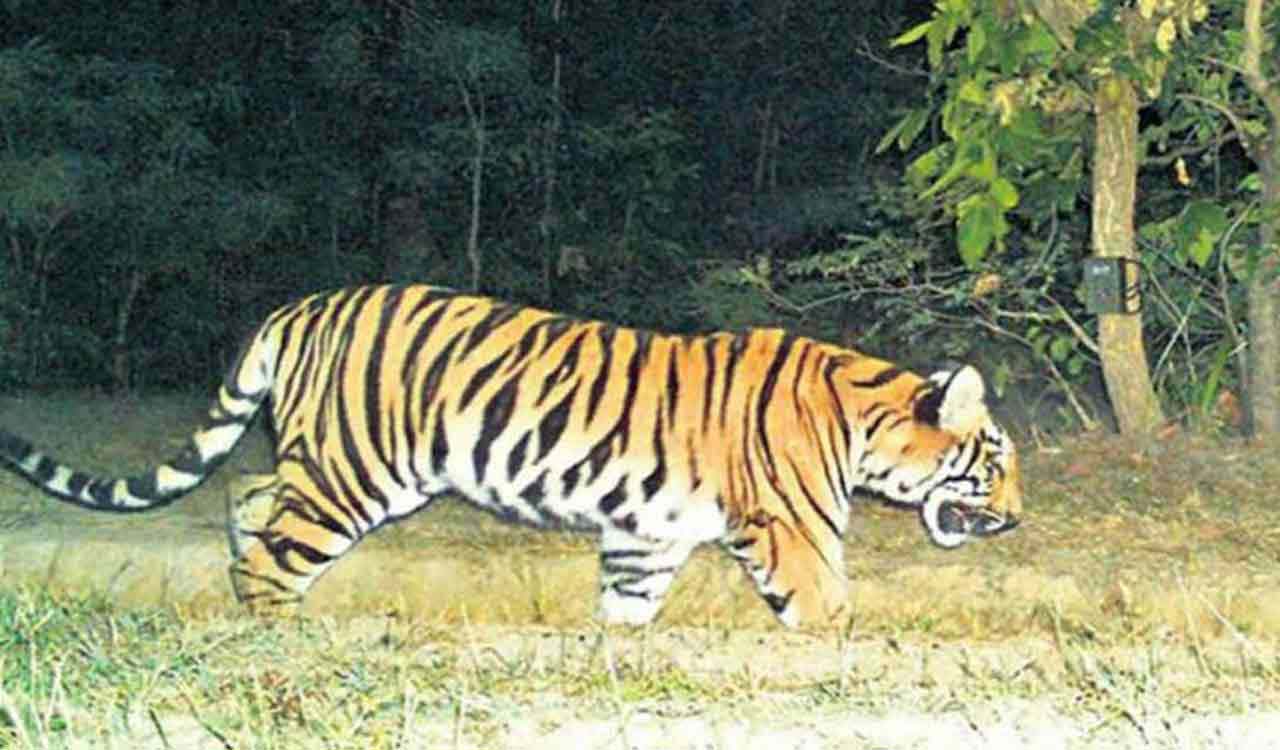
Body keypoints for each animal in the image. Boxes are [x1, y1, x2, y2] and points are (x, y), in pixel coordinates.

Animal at [0, 284, 1021, 627]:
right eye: (996, 461)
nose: (1017, 517)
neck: (865, 419)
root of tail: (300, 306)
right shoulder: (792, 534)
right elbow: (830, 610)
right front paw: (848, 649)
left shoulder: (646, 532)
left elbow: (627, 606)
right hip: (353, 473)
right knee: (275, 548)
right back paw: (276, 631)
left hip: (322, 465)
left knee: (248, 495)